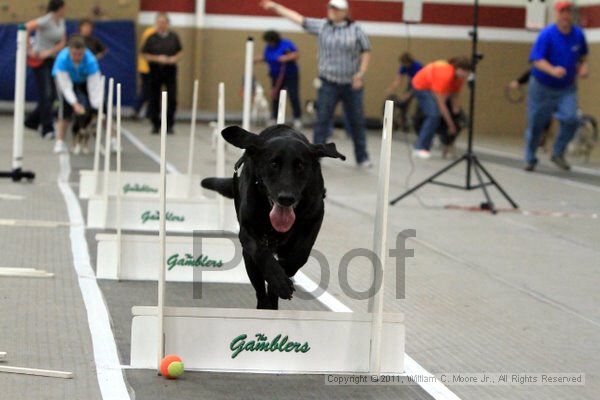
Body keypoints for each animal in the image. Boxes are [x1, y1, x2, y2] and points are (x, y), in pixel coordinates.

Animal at [202, 125, 344, 310]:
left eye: (300, 166)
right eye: (273, 164)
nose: (286, 198)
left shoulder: (315, 217)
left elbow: (300, 253)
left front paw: (284, 274)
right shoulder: (248, 232)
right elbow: (261, 253)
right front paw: (279, 280)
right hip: (249, 260)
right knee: (260, 290)